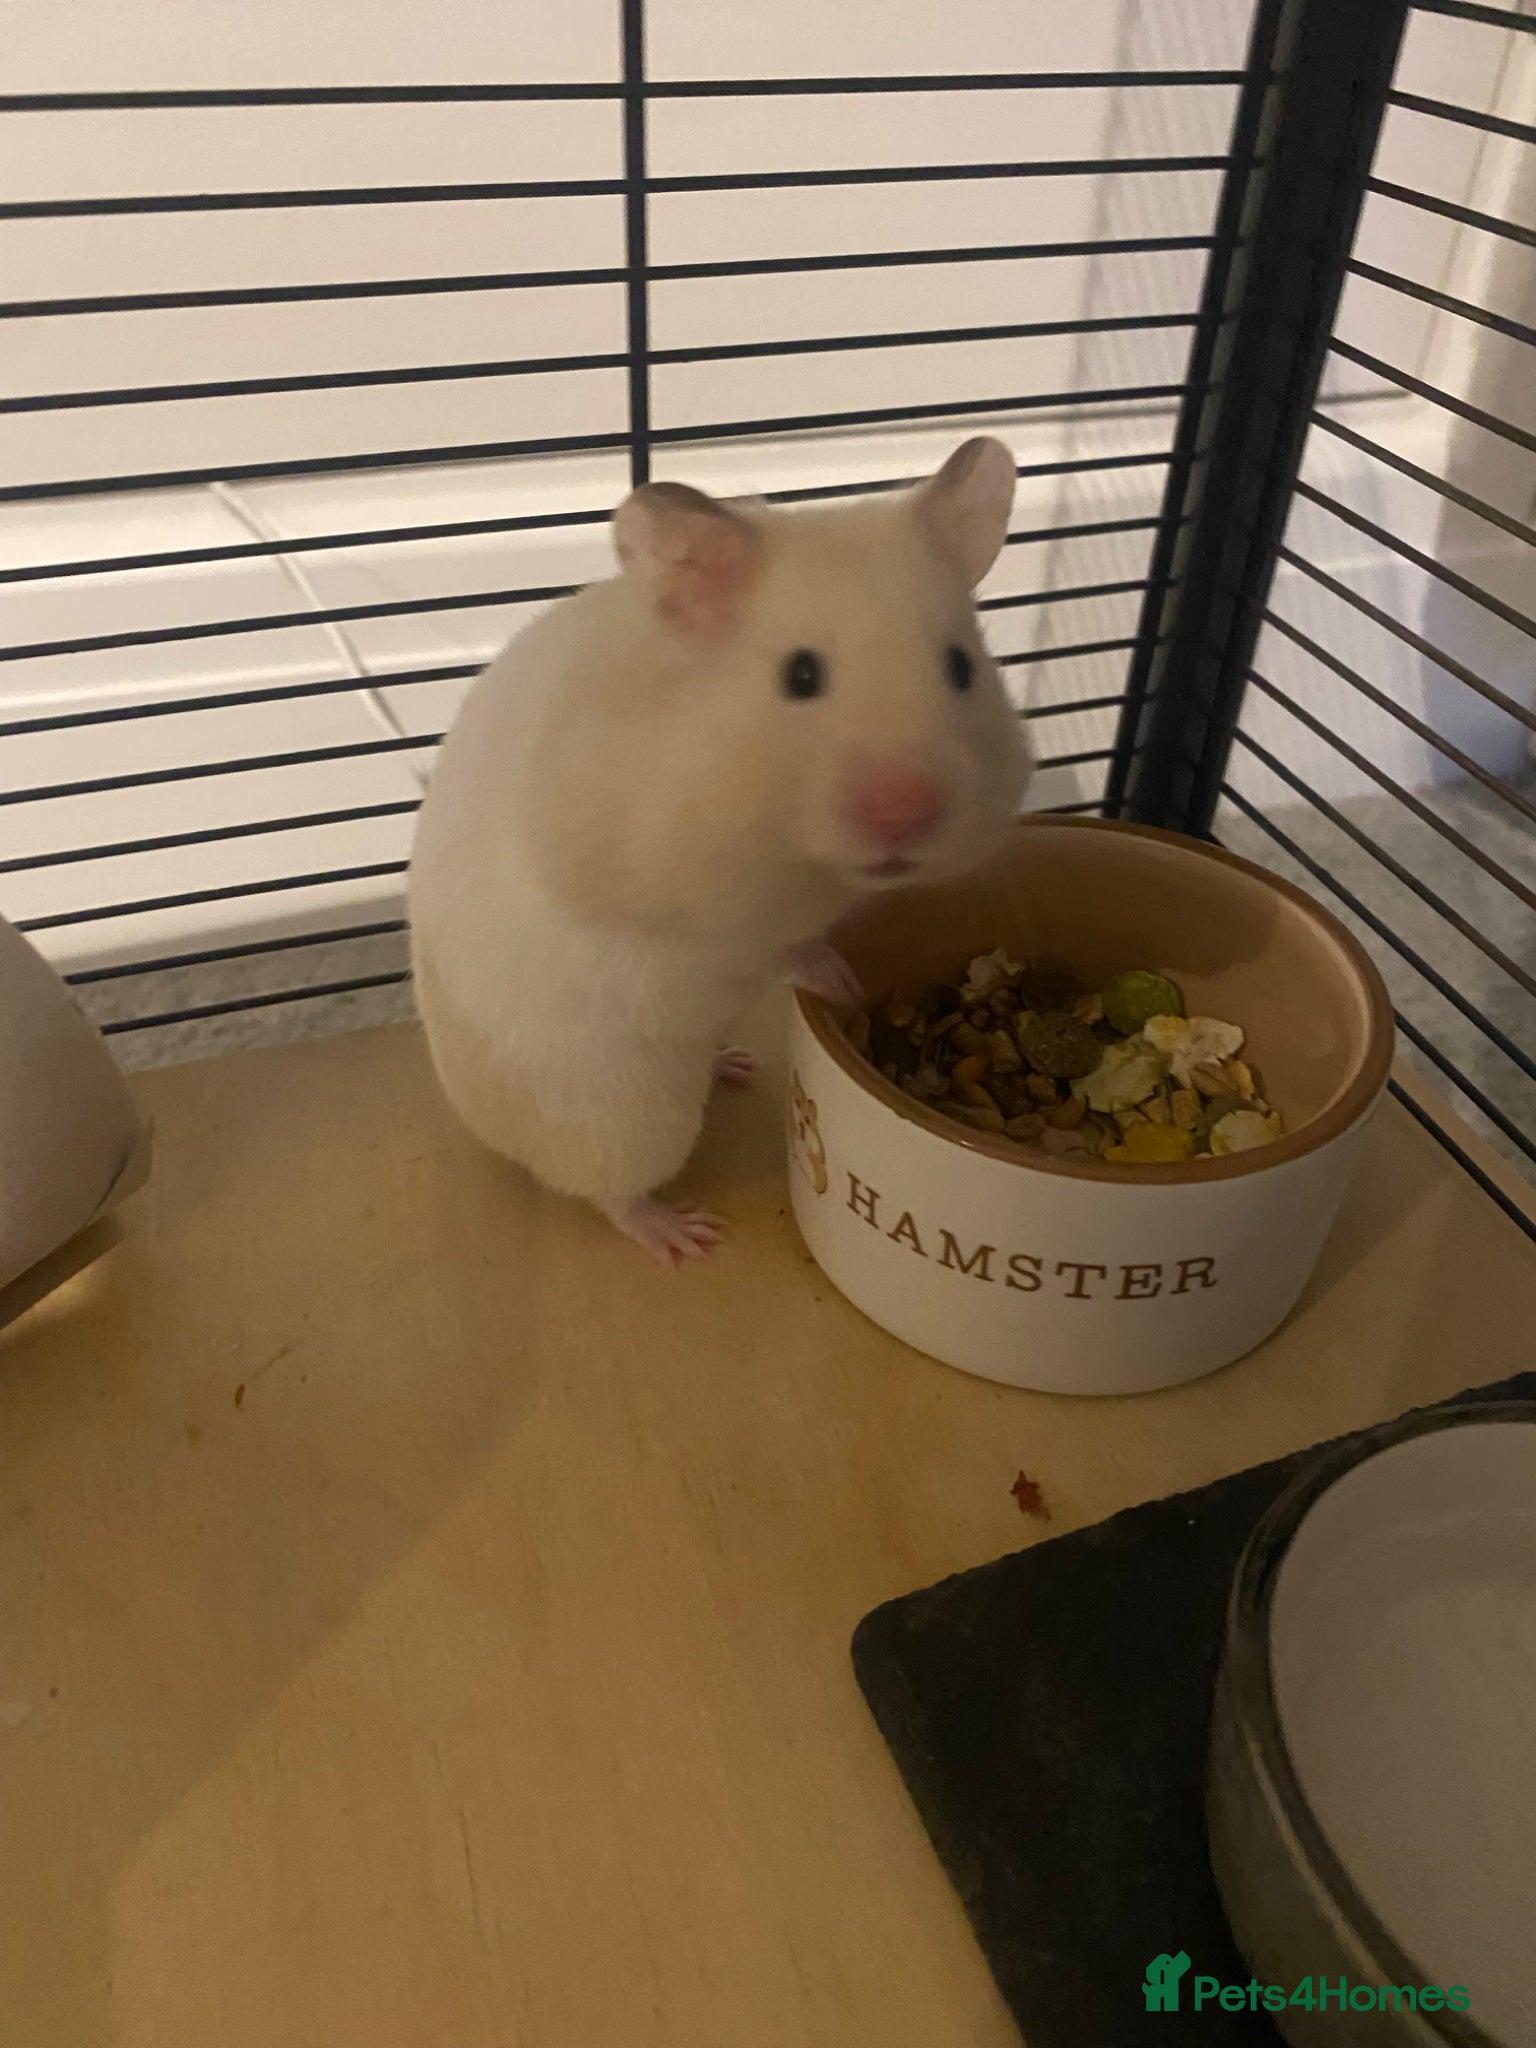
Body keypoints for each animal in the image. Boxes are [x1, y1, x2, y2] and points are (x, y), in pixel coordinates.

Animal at [408, 436, 1032, 1266]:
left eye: (962, 667)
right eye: (800, 675)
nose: (907, 817)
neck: (791, 853)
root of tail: (475, 1124)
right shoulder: (684, 913)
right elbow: (775, 947)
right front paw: (841, 982)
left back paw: (734, 1065)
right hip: (628, 1120)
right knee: (610, 1192)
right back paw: (686, 1236)